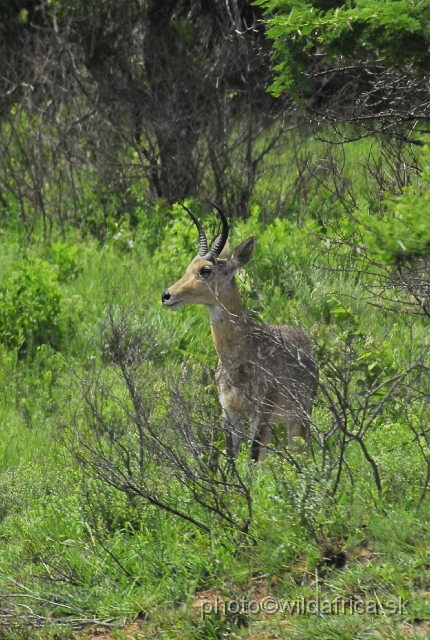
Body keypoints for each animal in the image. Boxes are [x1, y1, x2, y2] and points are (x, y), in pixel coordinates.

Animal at [160, 204, 318, 460]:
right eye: (188, 268)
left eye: (206, 269)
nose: (167, 295)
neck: (242, 357)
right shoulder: (228, 412)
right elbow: (231, 459)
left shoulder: (261, 414)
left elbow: (253, 460)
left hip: (300, 417)